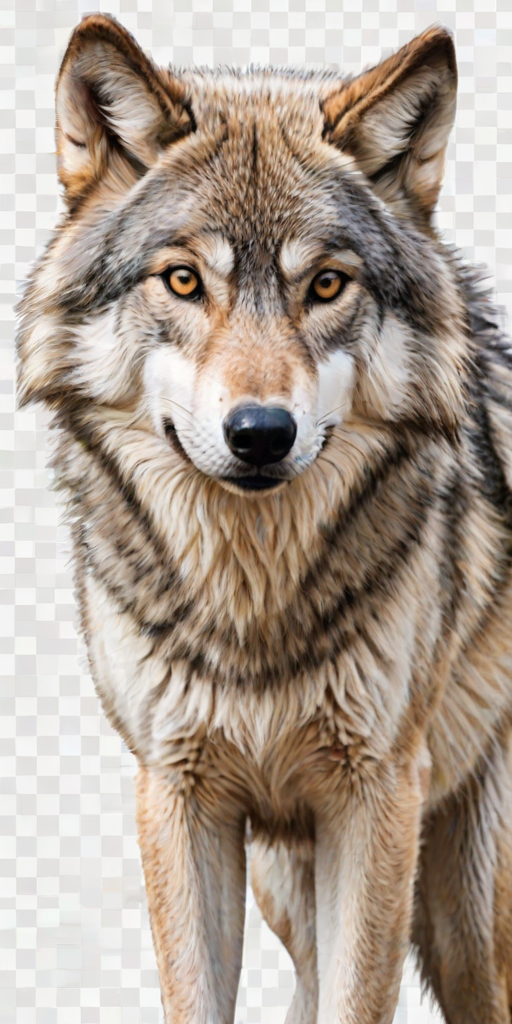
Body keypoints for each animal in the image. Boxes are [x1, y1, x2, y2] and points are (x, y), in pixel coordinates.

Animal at [16, 13, 512, 1023]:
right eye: (181, 281)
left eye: (325, 286)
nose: (259, 433)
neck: (252, 605)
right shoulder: (180, 796)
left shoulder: (377, 798)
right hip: (298, 880)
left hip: (473, 922)